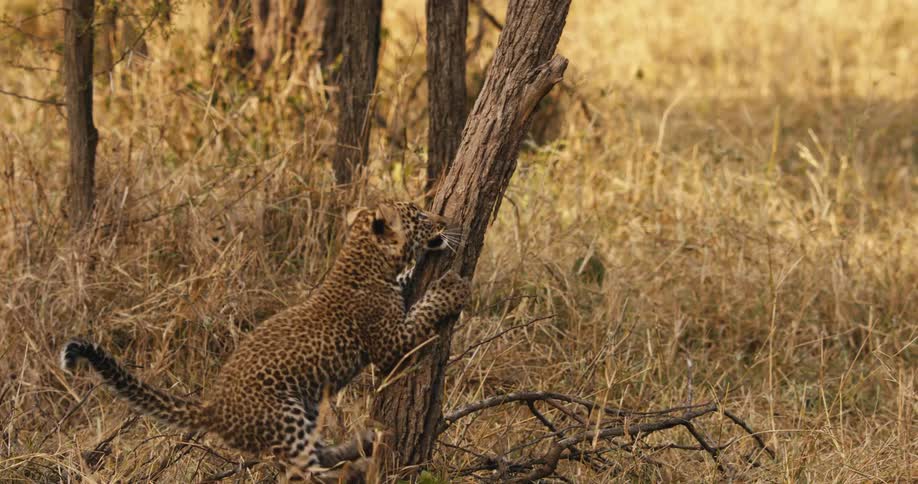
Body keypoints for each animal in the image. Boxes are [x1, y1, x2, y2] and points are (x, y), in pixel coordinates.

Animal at [60, 200, 470, 481]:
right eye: (419, 216)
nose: (445, 221)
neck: (365, 259)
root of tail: (215, 408)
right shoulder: (389, 341)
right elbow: (422, 312)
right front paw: (452, 286)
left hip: (304, 410)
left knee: (312, 456)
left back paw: (362, 443)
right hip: (283, 414)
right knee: (304, 472)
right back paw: (355, 465)